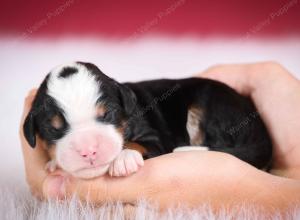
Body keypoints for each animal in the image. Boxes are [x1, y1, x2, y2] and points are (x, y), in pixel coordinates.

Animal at [22, 62, 272, 179]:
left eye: (107, 114)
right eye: (53, 129)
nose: (88, 150)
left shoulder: (155, 137)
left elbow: (140, 143)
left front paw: (124, 158)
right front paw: (54, 162)